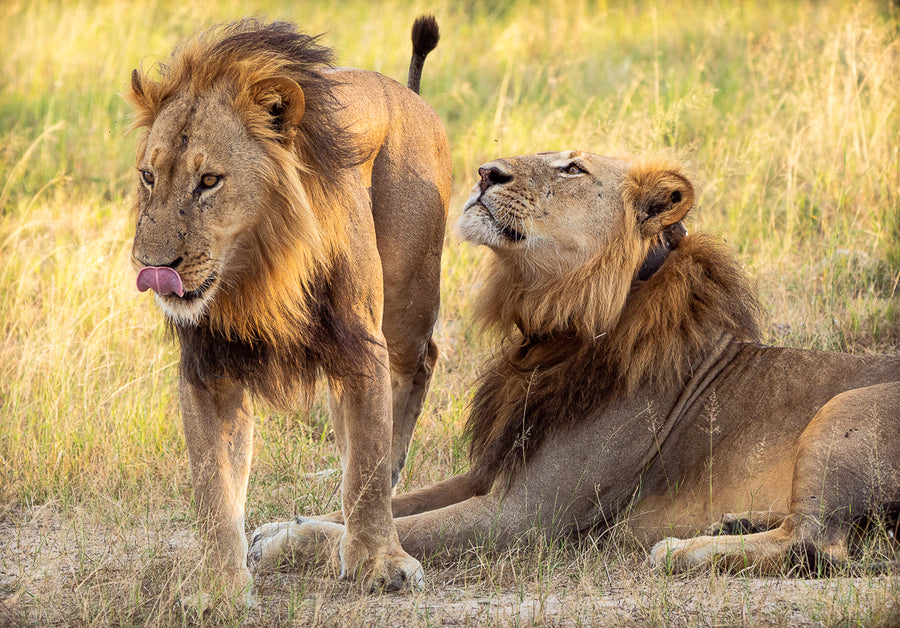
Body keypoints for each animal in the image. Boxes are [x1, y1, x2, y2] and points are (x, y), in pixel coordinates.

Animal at [126, 14, 450, 604]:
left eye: (210, 181)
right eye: (149, 177)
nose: (151, 266)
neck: (257, 272)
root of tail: (406, 91)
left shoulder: (359, 345)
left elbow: (367, 466)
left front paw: (380, 563)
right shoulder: (208, 370)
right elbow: (214, 486)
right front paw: (220, 588)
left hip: (407, 304)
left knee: (415, 372)